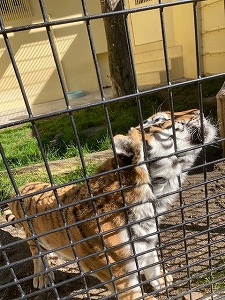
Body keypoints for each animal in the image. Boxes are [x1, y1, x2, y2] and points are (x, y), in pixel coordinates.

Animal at [2, 109, 216, 298]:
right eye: (159, 120)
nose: (198, 111)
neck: (153, 198)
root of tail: (21, 187)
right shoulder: (122, 278)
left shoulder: (147, 243)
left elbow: (152, 262)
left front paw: (161, 280)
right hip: (32, 235)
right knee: (36, 252)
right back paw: (42, 277)